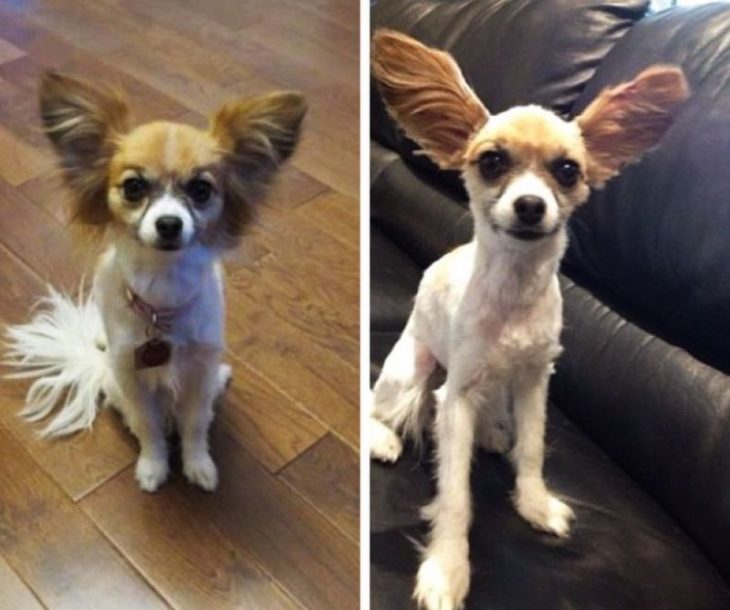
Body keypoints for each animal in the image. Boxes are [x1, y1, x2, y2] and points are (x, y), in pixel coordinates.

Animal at [3, 72, 304, 490]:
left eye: (201, 190)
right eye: (133, 187)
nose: (169, 223)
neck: (163, 295)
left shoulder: (199, 373)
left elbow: (195, 426)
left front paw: (198, 465)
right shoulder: (132, 379)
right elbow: (148, 428)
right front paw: (153, 466)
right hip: (115, 383)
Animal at [372, 29, 684, 608]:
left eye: (568, 171)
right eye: (492, 161)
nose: (531, 206)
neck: (515, 289)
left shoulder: (536, 379)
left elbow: (534, 447)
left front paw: (534, 502)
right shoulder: (458, 395)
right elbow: (455, 493)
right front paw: (447, 568)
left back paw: (494, 432)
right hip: (413, 369)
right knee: (379, 404)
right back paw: (383, 438)